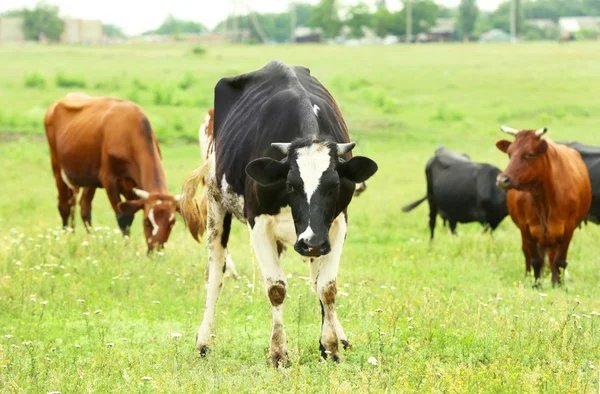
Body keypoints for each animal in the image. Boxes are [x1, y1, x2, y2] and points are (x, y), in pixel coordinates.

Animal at [44, 94, 180, 251]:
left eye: (172, 223)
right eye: (147, 221)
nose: (156, 250)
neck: (129, 134)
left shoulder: (131, 186)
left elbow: (129, 215)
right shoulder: (110, 181)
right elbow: (123, 216)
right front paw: (126, 248)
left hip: (89, 180)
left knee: (84, 208)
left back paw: (88, 240)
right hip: (57, 168)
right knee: (64, 206)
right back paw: (66, 237)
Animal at [182, 60, 380, 366]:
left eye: (335, 185)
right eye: (291, 184)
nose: (312, 242)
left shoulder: (336, 225)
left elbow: (326, 286)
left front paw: (331, 346)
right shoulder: (258, 223)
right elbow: (276, 288)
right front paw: (278, 352)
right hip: (216, 204)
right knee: (215, 272)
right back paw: (204, 341)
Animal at [496, 124, 592, 284]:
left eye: (530, 154)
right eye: (509, 153)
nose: (502, 180)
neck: (544, 198)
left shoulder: (568, 228)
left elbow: (560, 261)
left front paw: (559, 285)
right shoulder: (526, 227)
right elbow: (536, 260)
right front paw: (536, 285)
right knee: (528, 253)